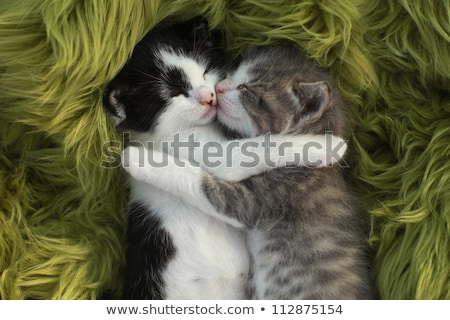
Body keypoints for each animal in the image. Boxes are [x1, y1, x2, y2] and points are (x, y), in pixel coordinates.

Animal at [105, 19, 344, 300]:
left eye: (206, 71)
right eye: (175, 92)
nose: (209, 97)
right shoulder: (200, 151)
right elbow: (252, 149)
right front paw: (326, 144)